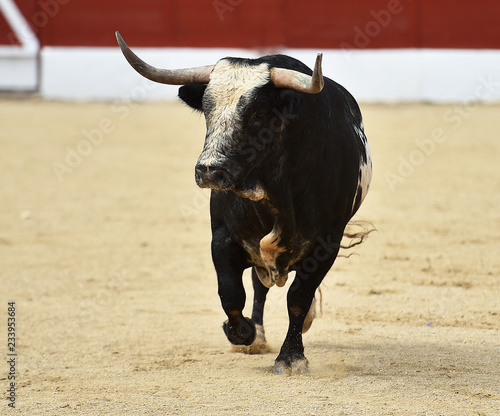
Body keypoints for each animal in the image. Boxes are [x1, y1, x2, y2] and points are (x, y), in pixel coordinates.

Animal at [116, 33, 372, 374]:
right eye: (207, 109)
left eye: (258, 114)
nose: (209, 170)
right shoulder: (223, 236)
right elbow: (231, 292)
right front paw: (243, 332)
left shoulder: (326, 244)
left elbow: (298, 297)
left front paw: (291, 357)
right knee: (258, 286)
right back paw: (258, 336)